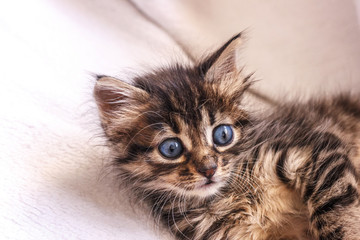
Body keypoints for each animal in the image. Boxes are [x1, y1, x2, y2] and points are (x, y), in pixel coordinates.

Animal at [93, 34, 360, 240]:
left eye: (223, 135)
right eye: (171, 148)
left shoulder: (311, 147)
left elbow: (338, 210)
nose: (209, 169)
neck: (231, 197)